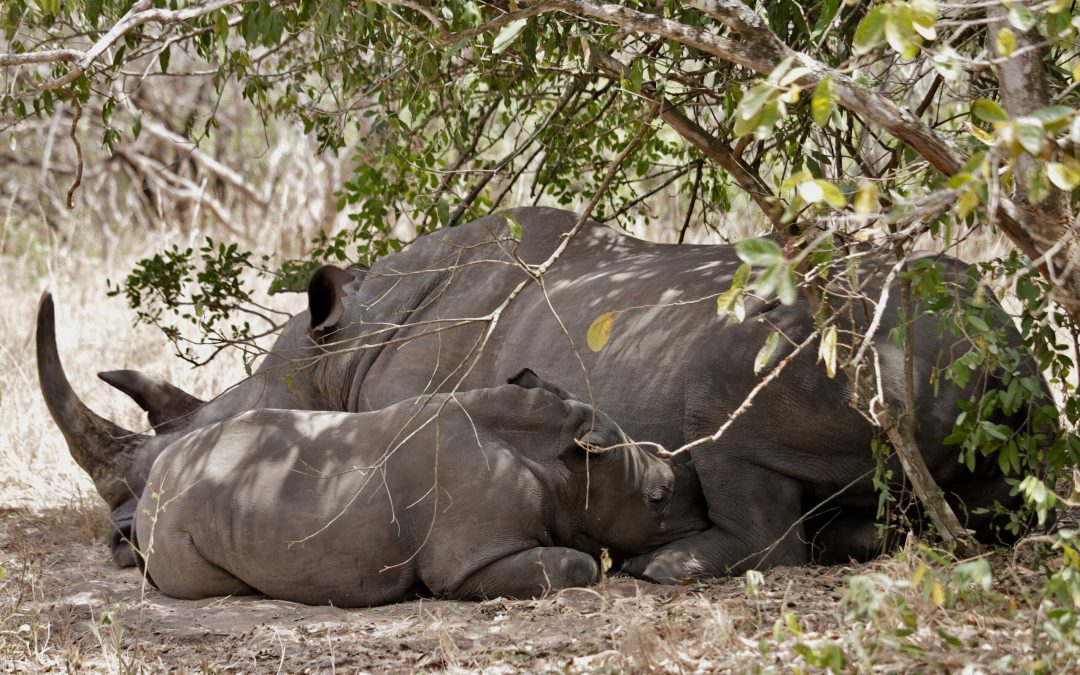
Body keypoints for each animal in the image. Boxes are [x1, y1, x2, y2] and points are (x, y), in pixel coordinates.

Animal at [41, 207, 1045, 581]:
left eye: (193, 438)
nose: (122, 538)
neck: (341, 350)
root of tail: (990, 350)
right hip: (980, 360)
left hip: (851, 339)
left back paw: (664, 569)